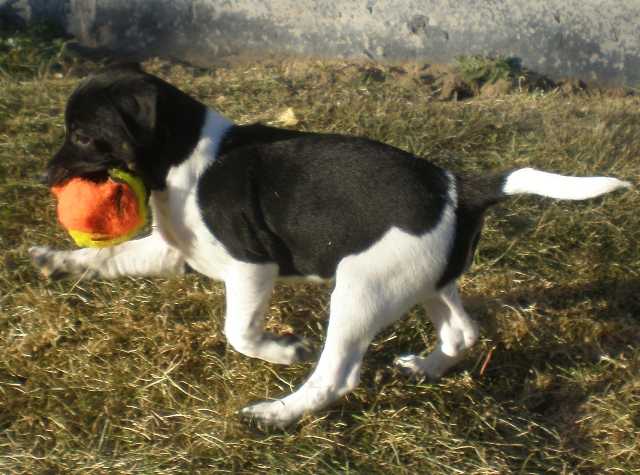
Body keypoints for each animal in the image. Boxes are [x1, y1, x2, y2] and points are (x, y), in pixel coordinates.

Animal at [28, 60, 632, 428]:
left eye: (83, 135)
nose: (45, 177)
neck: (183, 160)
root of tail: (460, 188)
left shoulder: (252, 266)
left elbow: (240, 332)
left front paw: (282, 351)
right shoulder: (174, 251)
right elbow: (106, 257)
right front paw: (56, 261)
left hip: (362, 290)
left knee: (337, 376)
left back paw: (278, 412)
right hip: (422, 280)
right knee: (463, 332)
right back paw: (426, 368)